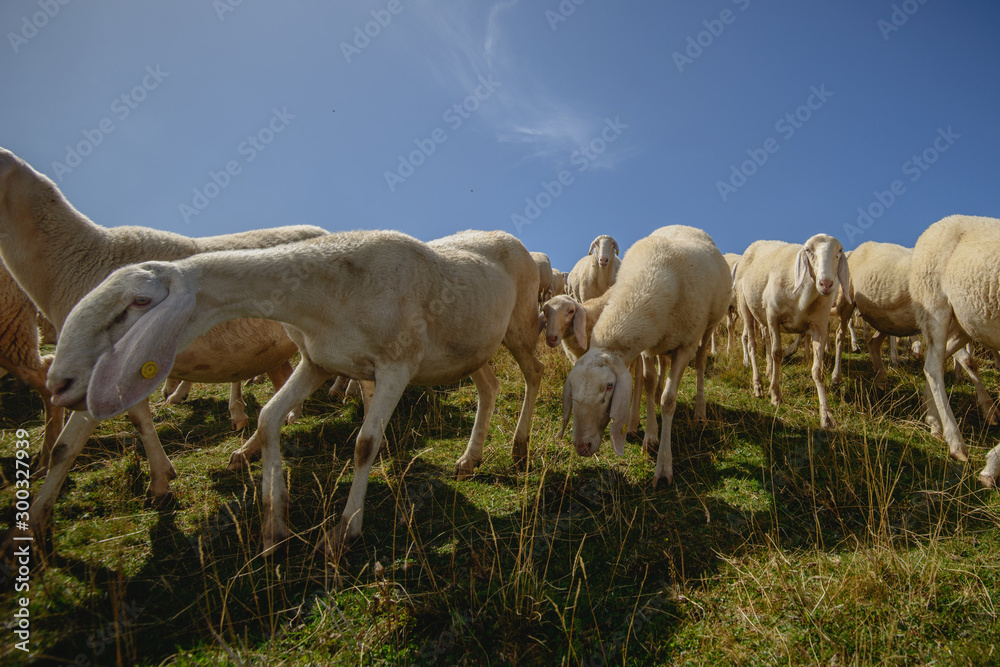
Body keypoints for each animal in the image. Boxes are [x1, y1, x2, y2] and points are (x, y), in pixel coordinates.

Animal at [0, 147, 327, 541]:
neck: (72, 257)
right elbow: (139, 420)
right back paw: (249, 449)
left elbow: (67, 447)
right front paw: (161, 478)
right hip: (278, 350)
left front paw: (33, 523)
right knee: (281, 398)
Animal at [46, 229, 544, 556]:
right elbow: (268, 417)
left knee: (535, 373)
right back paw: (470, 458)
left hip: (520, 324)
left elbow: (365, 444)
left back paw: (520, 447)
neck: (326, 292)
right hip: (471, 348)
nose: (58, 383)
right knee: (491, 387)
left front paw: (344, 531)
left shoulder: (395, 366)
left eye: (139, 302)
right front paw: (274, 526)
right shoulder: (317, 362)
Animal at [559, 225, 731, 486]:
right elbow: (649, 383)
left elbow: (669, 401)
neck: (646, 281)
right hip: (664, 340)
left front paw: (664, 466)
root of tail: (687, 227)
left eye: (609, 387)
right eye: (572, 388)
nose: (582, 446)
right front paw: (650, 436)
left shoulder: (685, 346)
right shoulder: (647, 347)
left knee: (701, 362)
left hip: (709, 325)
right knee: (662, 366)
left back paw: (699, 412)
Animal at [735, 234, 849, 429]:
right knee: (752, 345)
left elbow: (818, 371)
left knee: (766, 342)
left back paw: (768, 372)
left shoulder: (819, 326)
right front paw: (775, 395)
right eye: (808, 250)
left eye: (840, 251)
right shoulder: (773, 317)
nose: (826, 284)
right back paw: (758, 385)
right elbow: (777, 354)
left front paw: (826, 414)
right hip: (746, 307)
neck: (803, 296)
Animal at [909, 215, 1000, 486]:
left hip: (965, 321)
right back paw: (955, 441)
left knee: (939, 361)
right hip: (935, 305)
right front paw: (991, 467)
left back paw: (934, 420)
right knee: (934, 366)